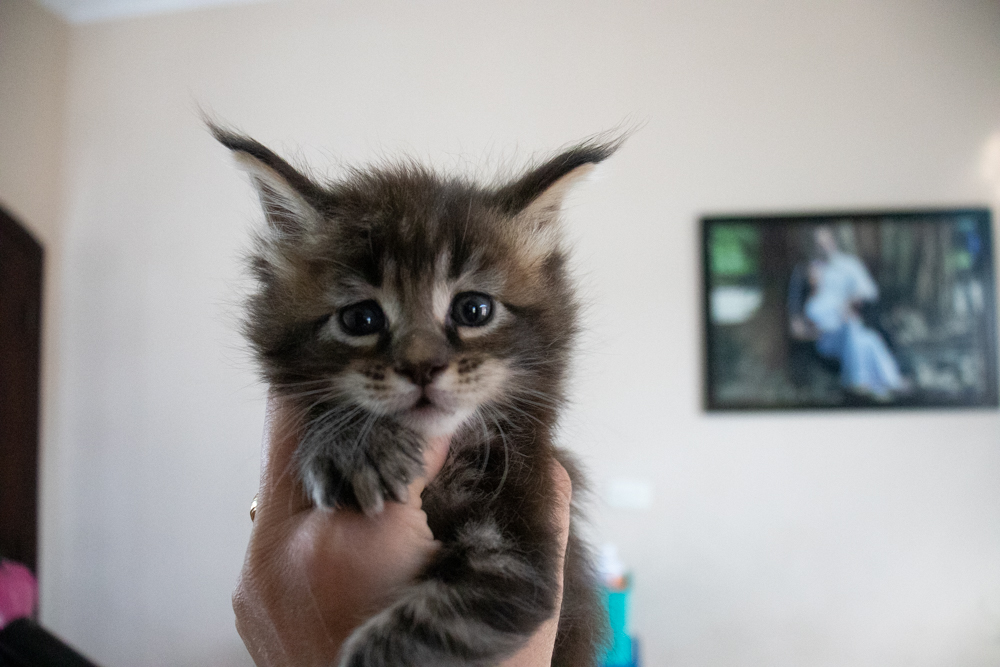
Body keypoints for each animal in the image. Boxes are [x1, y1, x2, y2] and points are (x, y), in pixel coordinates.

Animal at [214, 126, 616, 667]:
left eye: (474, 309)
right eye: (360, 319)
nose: (422, 367)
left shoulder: (520, 540)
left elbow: (442, 621)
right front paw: (356, 447)